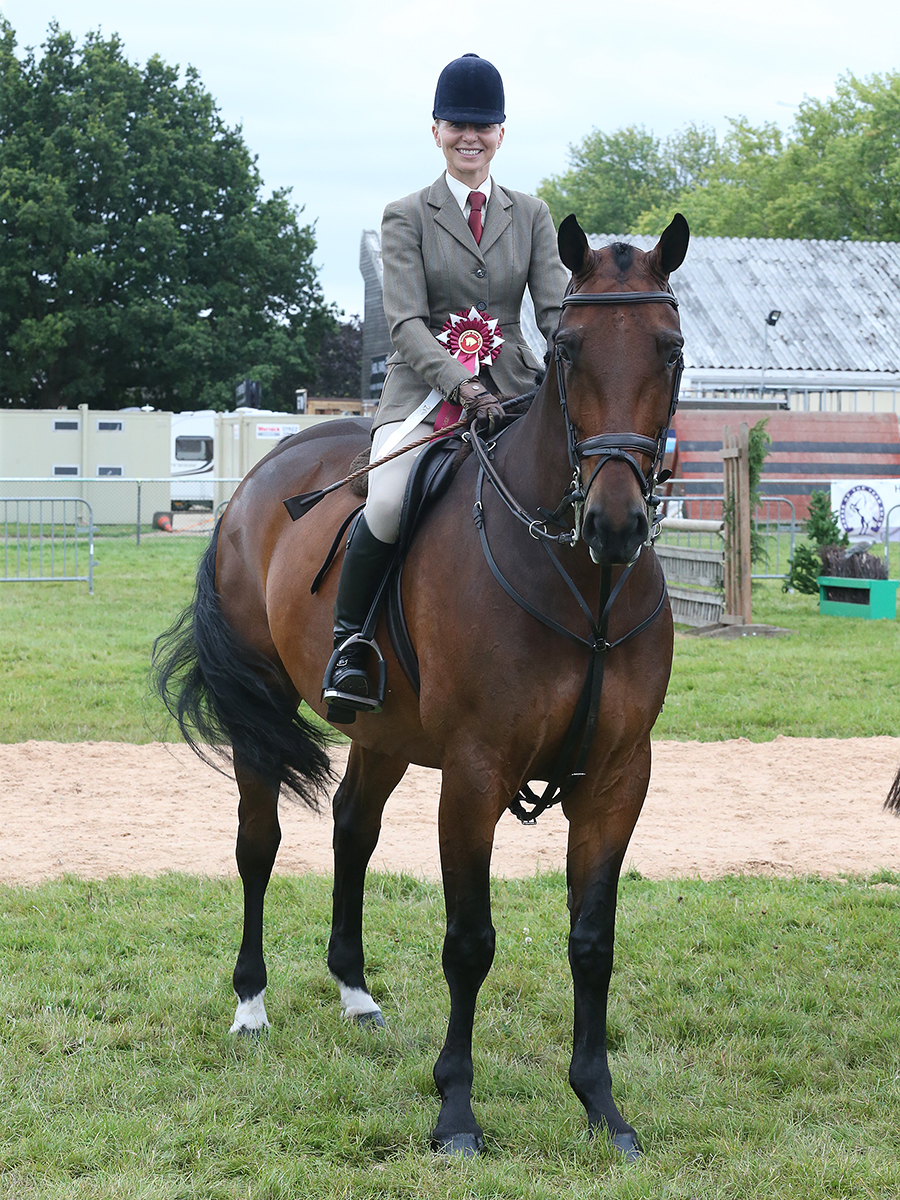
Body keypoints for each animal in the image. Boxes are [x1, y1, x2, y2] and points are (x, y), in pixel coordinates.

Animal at [153, 211, 690, 1160]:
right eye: (567, 351)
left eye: (670, 350)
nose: (616, 522)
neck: (579, 581)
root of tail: (262, 474)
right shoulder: (476, 774)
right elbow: (469, 942)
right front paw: (456, 1113)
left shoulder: (620, 774)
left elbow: (593, 940)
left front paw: (602, 1106)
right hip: (263, 712)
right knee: (259, 845)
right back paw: (250, 1006)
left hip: (386, 733)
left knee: (352, 830)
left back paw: (354, 993)